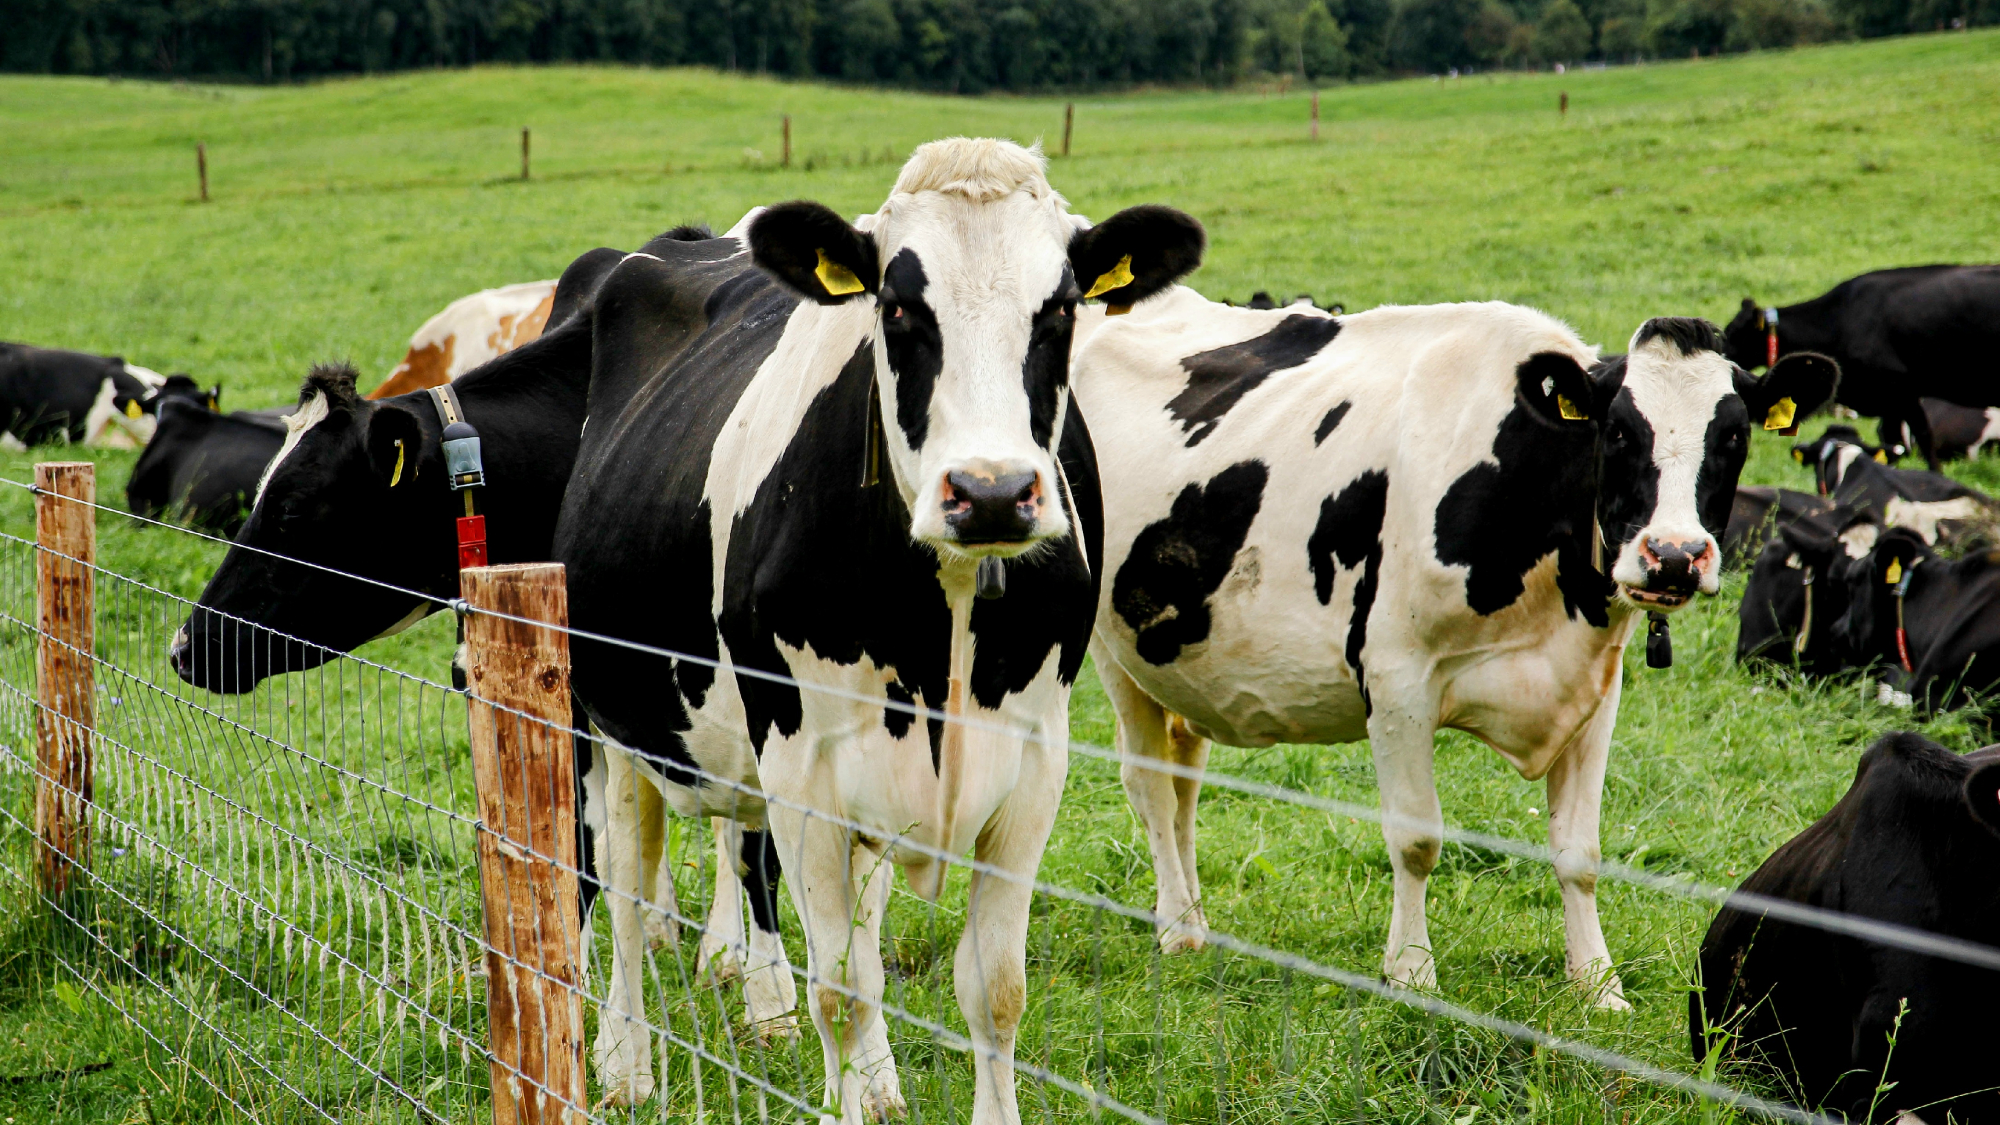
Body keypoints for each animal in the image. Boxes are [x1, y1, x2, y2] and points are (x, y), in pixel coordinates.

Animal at [549, 137, 1201, 1118]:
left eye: (1059, 308)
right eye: (897, 306)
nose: (992, 492)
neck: (948, 616)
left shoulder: (1035, 761)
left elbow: (992, 987)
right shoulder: (801, 769)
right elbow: (840, 989)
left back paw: (878, 1081)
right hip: (613, 716)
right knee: (624, 886)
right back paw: (625, 1064)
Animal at [1070, 301, 1838, 1007]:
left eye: (1733, 435)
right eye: (1618, 431)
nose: (1674, 556)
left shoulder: (1595, 686)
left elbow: (1581, 852)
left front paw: (1597, 985)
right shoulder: (1397, 680)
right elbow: (1416, 839)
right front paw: (1412, 974)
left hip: (1179, 660)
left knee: (1183, 780)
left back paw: (1197, 918)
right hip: (1112, 648)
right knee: (1148, 784)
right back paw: (1177, 927)